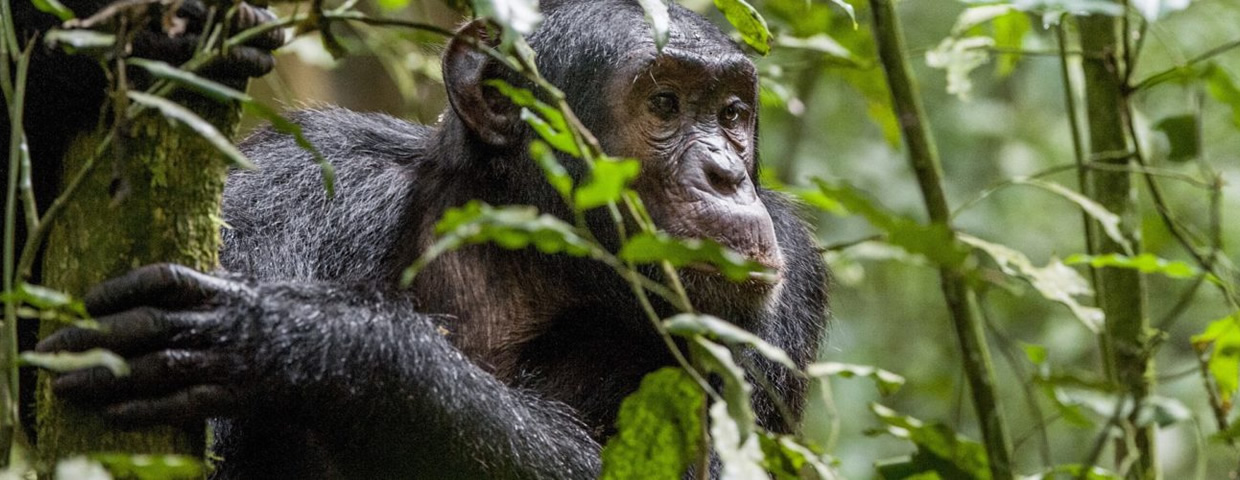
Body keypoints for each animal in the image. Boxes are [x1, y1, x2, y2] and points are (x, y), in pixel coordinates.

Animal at [29, 0, 828, 480]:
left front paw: (304, 337)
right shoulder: (291, 181)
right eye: (665, 103)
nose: (726, 173)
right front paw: (96, 58)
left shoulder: (788, 292)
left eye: (731, 113)